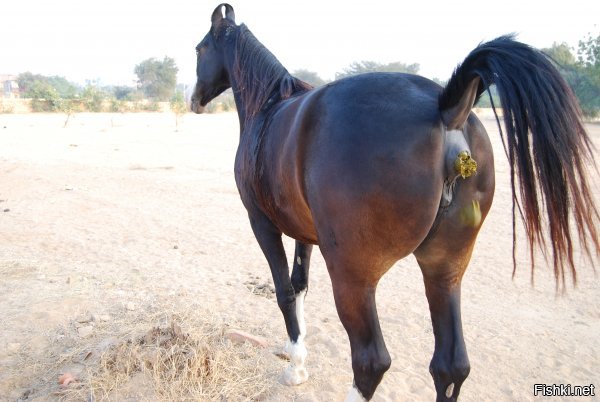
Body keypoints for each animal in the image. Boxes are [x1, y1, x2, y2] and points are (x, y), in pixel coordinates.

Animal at [190, 3, 596, 402]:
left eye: (199, 49)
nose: (193, 100)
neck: (269, 107)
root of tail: (447, 109)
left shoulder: (261, 223)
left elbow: (286, 293)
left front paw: (294, 368)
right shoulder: (304, 233)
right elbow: (300, 284)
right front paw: (298, 359)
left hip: (353, 277)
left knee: (371, 361)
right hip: (444, 269)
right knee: (451, 367)